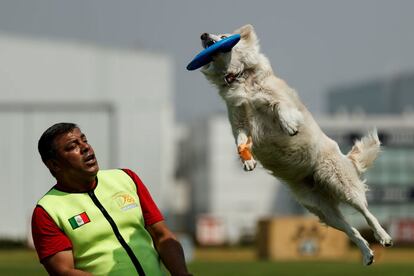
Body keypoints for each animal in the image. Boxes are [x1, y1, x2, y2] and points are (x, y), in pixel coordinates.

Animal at [199, 24, 392, 264]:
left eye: (224, 36)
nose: (203, 35)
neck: (239, 77)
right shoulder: (239, 121)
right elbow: (241, 141)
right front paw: (247, 161)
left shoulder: (283, 103)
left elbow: (280, 106)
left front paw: (289, 125)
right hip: (321, 209)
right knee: (351, 230)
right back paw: (366, 253)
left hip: (342, 184)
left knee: (366, 212)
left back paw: (383, 236)